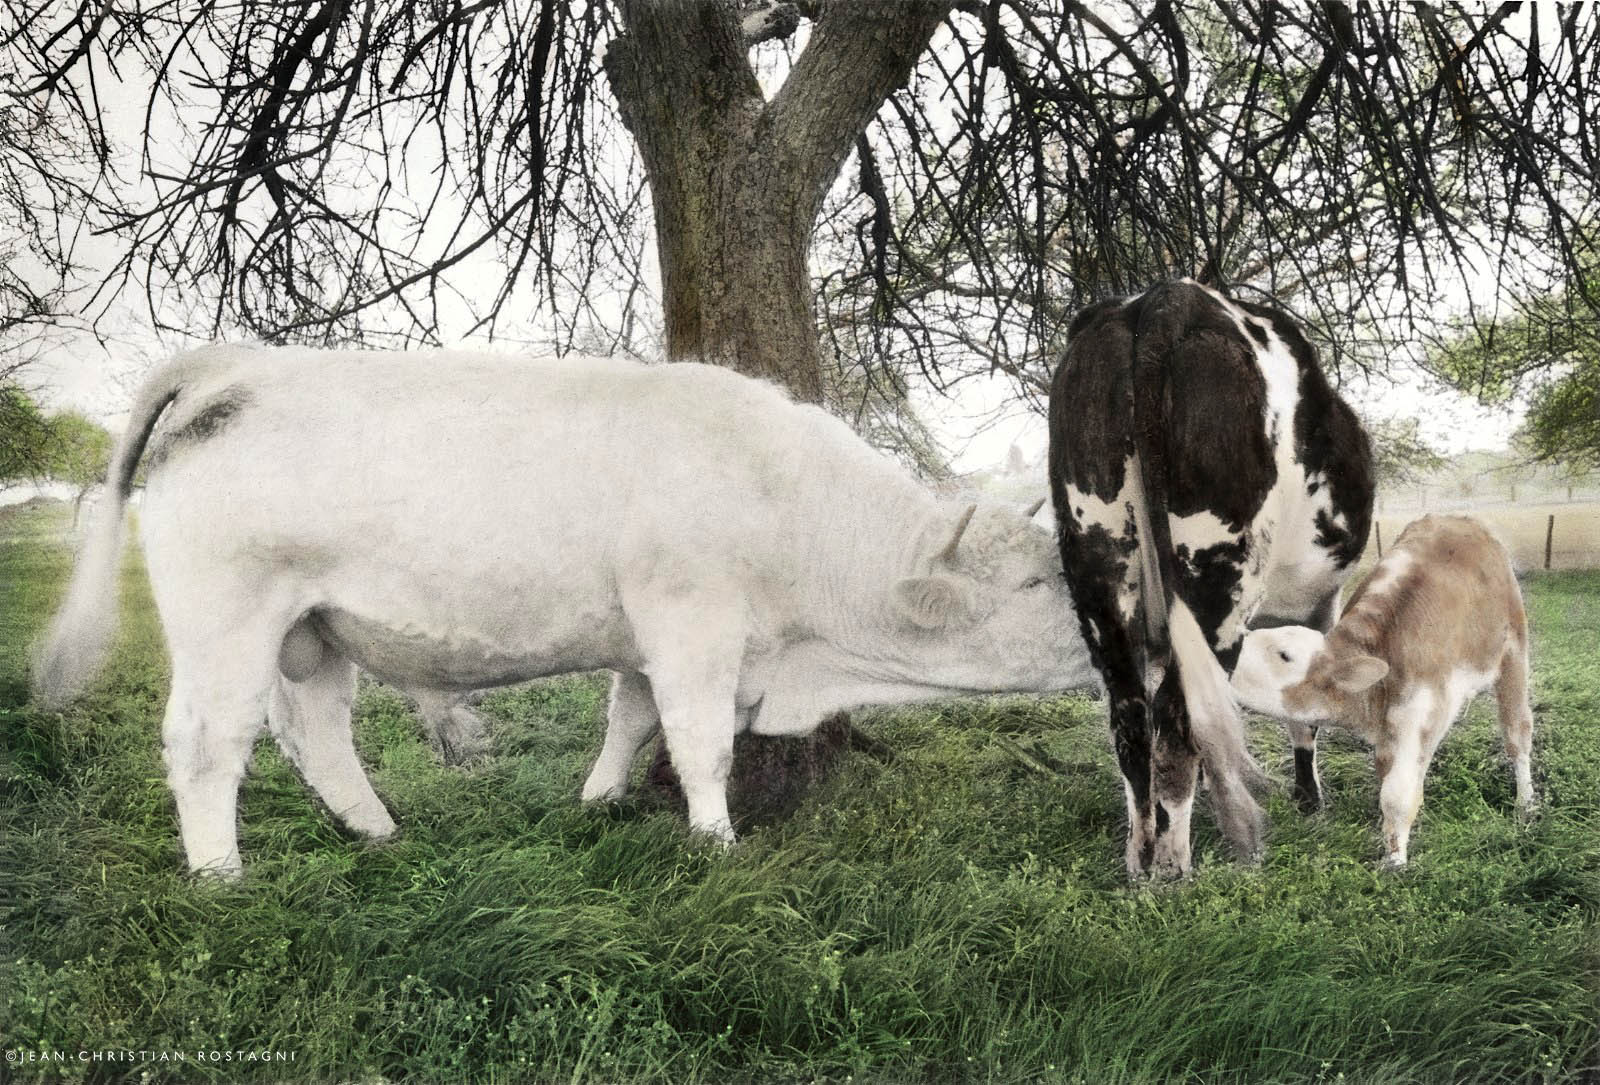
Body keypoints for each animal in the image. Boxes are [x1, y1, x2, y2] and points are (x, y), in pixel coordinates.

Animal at [34, 345, 1098, 877]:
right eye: (1038, 584)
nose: (1107, 642)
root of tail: (227, 366)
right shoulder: (692, 620)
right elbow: (701, 740)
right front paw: (715, 843)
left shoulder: (642, 636)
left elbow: (630, 719)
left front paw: (599, 801)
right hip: (230, 616)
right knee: (206, 743)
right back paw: (220, 874)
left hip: (311, 628)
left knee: (315, 731)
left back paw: (376, 831)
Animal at [1048, 280, 1374, 877]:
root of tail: (1166, 299)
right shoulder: (1320, 607)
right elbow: (1305, 712)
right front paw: (1309, 799)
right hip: (1216, 578)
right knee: (1179, 722)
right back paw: (1176, 867)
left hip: (1098, 565)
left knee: (1134, 721)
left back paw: (1141, 858)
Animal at [1230, 514, 1535, 866]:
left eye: (1284, 655)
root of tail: (1460, 520)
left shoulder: (1421, 711)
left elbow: (1396, 794)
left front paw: (1395, 861)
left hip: (1513, 653)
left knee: (1517, 734)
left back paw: (1526, 803)